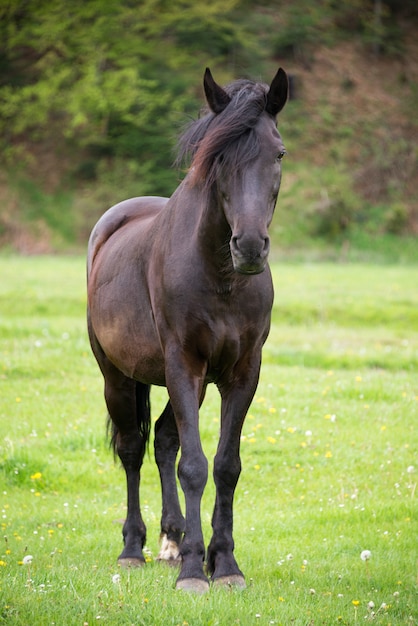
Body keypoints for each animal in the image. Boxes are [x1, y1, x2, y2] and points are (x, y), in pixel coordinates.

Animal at [86, 67, 286, 588]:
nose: (250, 247)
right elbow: (194, 466)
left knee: (163, 441)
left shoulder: (242, 373)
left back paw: (171, 540)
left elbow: (225, 465)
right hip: (118, 376)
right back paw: (133, 547)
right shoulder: (183, 364)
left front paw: (225, 563)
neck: (219, 277)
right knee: (134, 448)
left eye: (278, 153)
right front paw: (197, 570)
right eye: (219, 158)